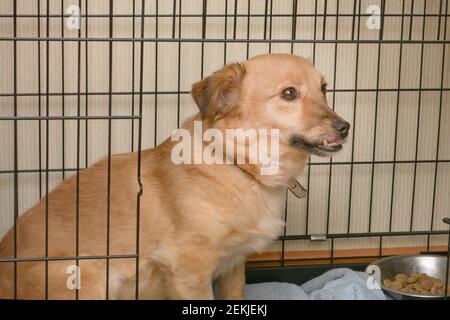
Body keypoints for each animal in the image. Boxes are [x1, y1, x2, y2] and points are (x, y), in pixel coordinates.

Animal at [0, 53, 350, 300]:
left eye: (324, 88)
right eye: (289, 94)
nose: (345, 127)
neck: (238, 166)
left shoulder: (234, 264)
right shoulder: (188, 271)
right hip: (89, 275)